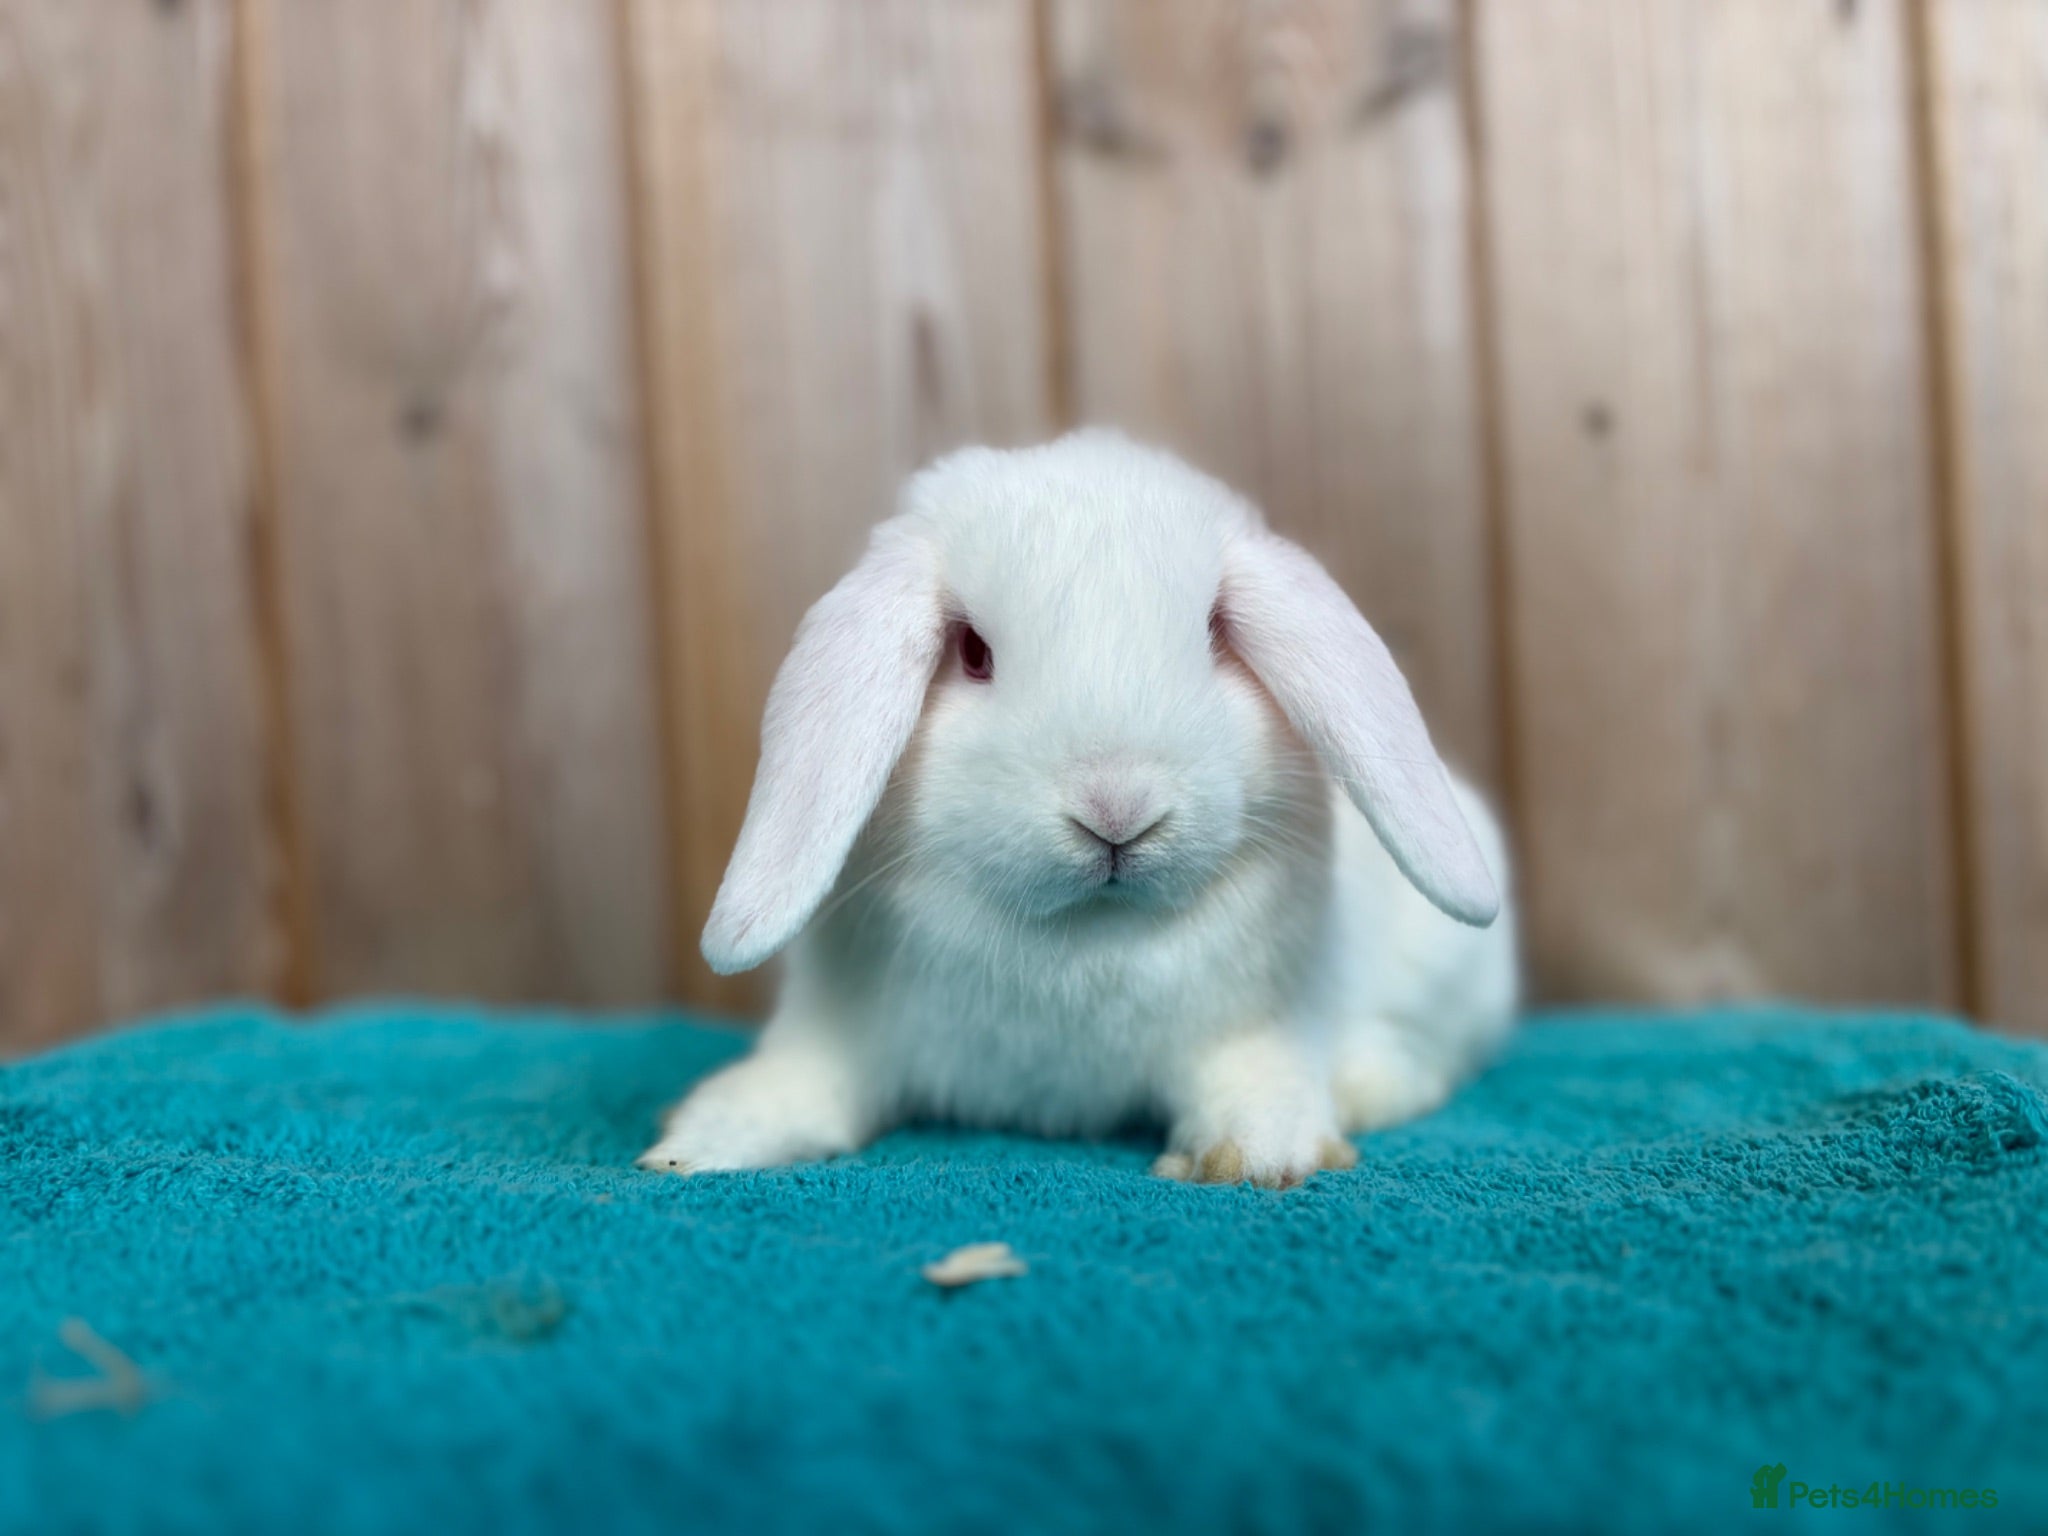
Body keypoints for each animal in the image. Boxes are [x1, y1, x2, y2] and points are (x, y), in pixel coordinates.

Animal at [639, 431, 1518, 1188]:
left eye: (1214, 635)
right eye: (974, 653)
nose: (1117, 810)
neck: (1084, 940)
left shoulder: (1255, 1027)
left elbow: (1256, 1084)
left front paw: (1257, 1154)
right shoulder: (841, 1032)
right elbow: (802, 1086)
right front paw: (697, 1143)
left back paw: (1369, 1086)